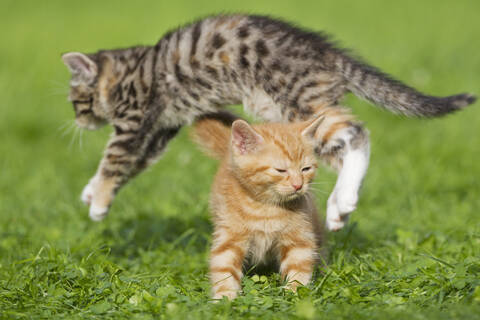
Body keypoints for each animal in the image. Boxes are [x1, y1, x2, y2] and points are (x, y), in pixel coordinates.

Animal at [62, 14, 474, 230]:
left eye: (78, 101)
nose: (79, 121)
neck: (130, 69)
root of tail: (327, 52)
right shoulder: (160, 129)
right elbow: (134, 165)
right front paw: (91, 190)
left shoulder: (135, 121)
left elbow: (115, 160)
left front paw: (98, 201)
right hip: (292, 115)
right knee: (332, 150)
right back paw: (339, 204)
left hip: (299, 100)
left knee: (356, 133)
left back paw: (344, 196)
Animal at [191, 112, 326, 300]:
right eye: (281, 170)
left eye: (306, 169)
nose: (298, 185)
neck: (266, 208)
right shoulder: (230, 236)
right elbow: (224, 266)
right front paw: (224, 298)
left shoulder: (299, 237)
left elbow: (299, 266)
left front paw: (294, 294)